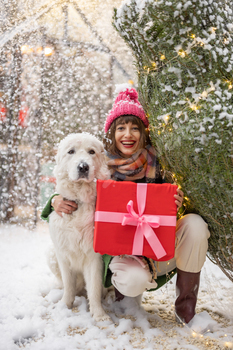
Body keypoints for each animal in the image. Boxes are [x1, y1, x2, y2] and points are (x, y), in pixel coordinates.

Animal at [47, 133, 110, 322]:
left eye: (91, 152)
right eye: (71, 152)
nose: (83, 166)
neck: (79, 201)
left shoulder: (94, 258)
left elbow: (94, 288)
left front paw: (99, 314)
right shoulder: (62, 255)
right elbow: (69, 285)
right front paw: (64, 305)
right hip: (50, 253)